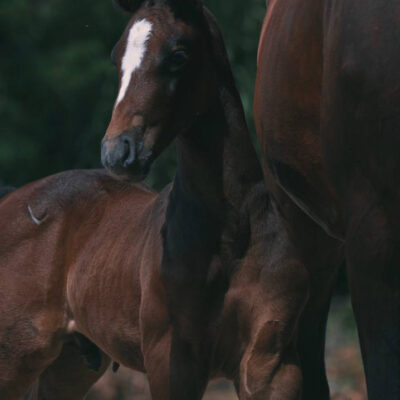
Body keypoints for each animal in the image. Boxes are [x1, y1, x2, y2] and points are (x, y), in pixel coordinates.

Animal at [0, 0, 310, 400]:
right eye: (116, 57)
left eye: (178, 55)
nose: (117, 152)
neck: (233, 231)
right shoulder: (170, 361)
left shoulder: (271, 364)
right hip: (15, 358)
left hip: (69, 365)